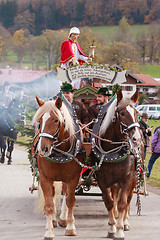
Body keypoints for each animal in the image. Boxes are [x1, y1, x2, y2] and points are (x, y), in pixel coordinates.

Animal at [90, 90, 142, 240]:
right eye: (122, 113)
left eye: (136, 113)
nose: (136, 139)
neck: (112, 151)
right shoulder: (102, 180)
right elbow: (109, 203)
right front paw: (112, 228)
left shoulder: (126, 179)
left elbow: (122, 203)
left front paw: (119, 230)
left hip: (134, 179)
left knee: (128, 199)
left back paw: (125, 223)